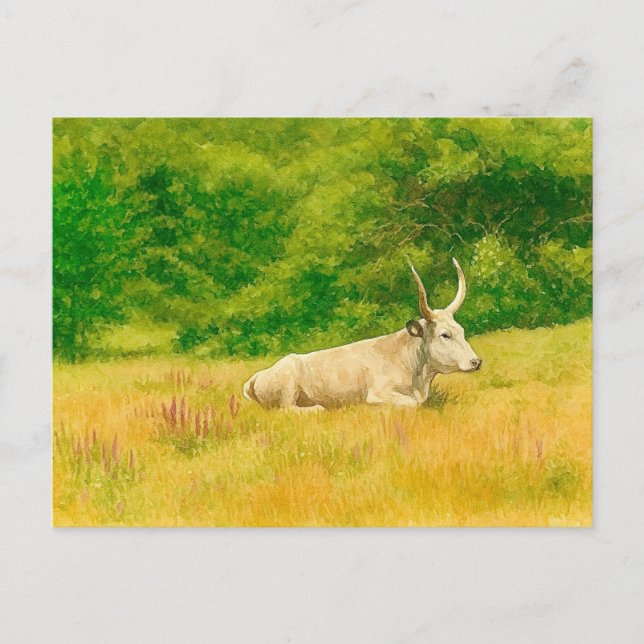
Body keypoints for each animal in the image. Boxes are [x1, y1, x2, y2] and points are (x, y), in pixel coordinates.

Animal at [243, 258, 481, 410]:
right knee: (289, 409)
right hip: (288, 388)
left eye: (461, 331)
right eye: (445, 335)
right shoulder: (378, 393)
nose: (476, 361)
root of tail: (256, 377)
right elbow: (412, 405)